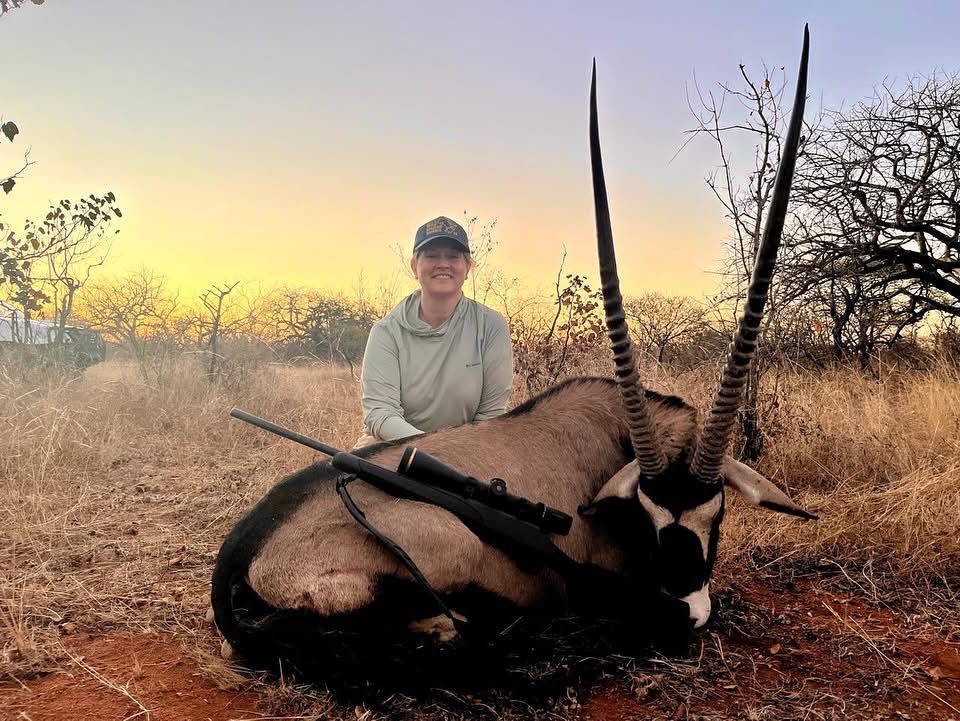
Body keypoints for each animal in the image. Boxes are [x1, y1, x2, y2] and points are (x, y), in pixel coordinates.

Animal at [211, 27, 814, 675]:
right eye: (644, 516)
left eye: (716, 513)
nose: (683, 616)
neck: (611, 443)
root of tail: (247, 547)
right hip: (449, 543)